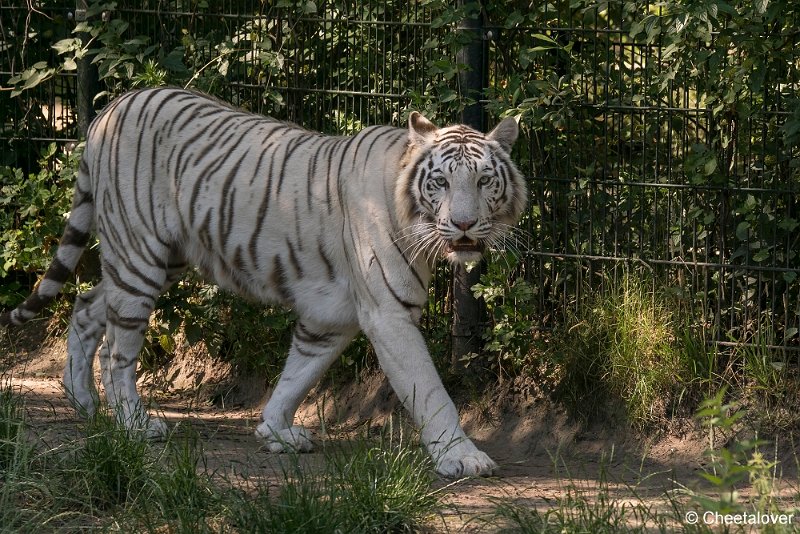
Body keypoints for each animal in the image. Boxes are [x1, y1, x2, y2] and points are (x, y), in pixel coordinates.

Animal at [3, 90, 528, 480]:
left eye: (485, 181)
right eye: (440, 182)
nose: (464, 225)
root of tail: (110, 108)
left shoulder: (331, 316)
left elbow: (299, 373)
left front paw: (275, 431)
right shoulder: (389, 313)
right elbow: (429, 390)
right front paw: (461, 456)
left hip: (163, 259)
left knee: (87, 305)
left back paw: (81, 401)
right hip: (139, 257)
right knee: (119, 350)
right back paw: (133, 423)